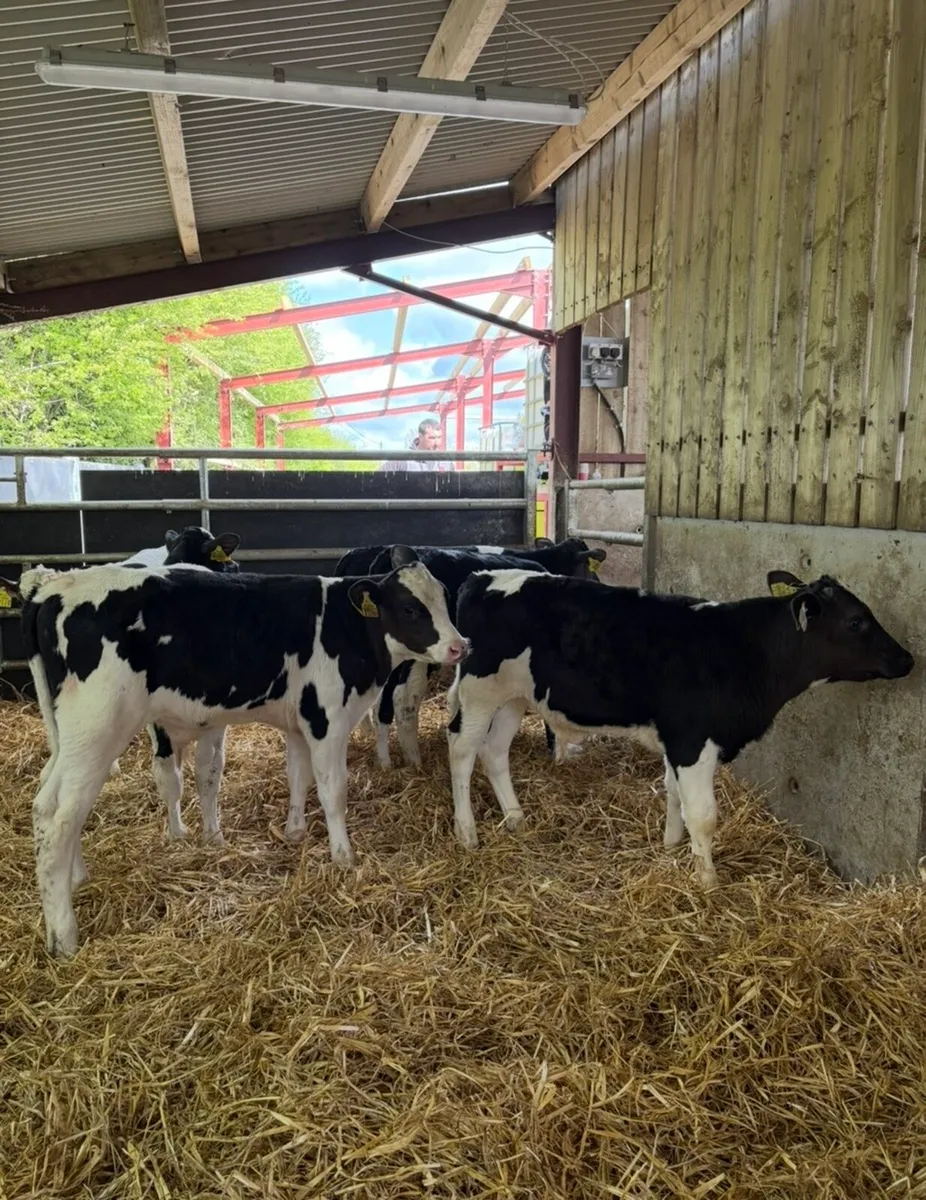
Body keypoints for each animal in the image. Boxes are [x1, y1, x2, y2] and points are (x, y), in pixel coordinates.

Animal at [22, 545, 466, 956]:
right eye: (410, 608)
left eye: (445, 598)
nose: (459, 646)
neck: (345, 627)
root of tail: (55, 589)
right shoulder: (328, 719)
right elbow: (332, 790)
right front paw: (343, 855)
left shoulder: (300, 720)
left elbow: (299, 777)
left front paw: (295, 831)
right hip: (98, 729)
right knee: (61, 819)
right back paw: (63, 935)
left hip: (72, 736)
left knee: (46, 803)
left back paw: (75, 878)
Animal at [446, 569, 914, 888]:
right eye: (856, 621)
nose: (908, 659)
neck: (744, 650)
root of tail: (483, 575)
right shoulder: (693, 740)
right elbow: (703, 815)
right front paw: (707, 880)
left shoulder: (677, 740)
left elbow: (675, 796)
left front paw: (671, 847)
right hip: (478, 689)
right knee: (462, 750)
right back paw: (467, 833)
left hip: (513, 698)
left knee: (494, 751)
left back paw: (516, 819)